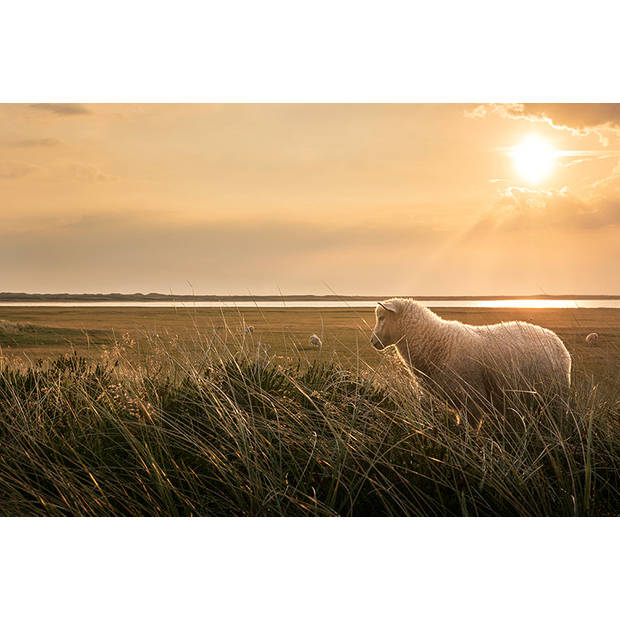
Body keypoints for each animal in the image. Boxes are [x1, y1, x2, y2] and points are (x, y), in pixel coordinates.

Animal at [370, 298, 572, 414]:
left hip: (556, 395)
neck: (438, 341)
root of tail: (557, 341)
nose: (372, 342)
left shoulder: (472, 399)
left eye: (381, 317)